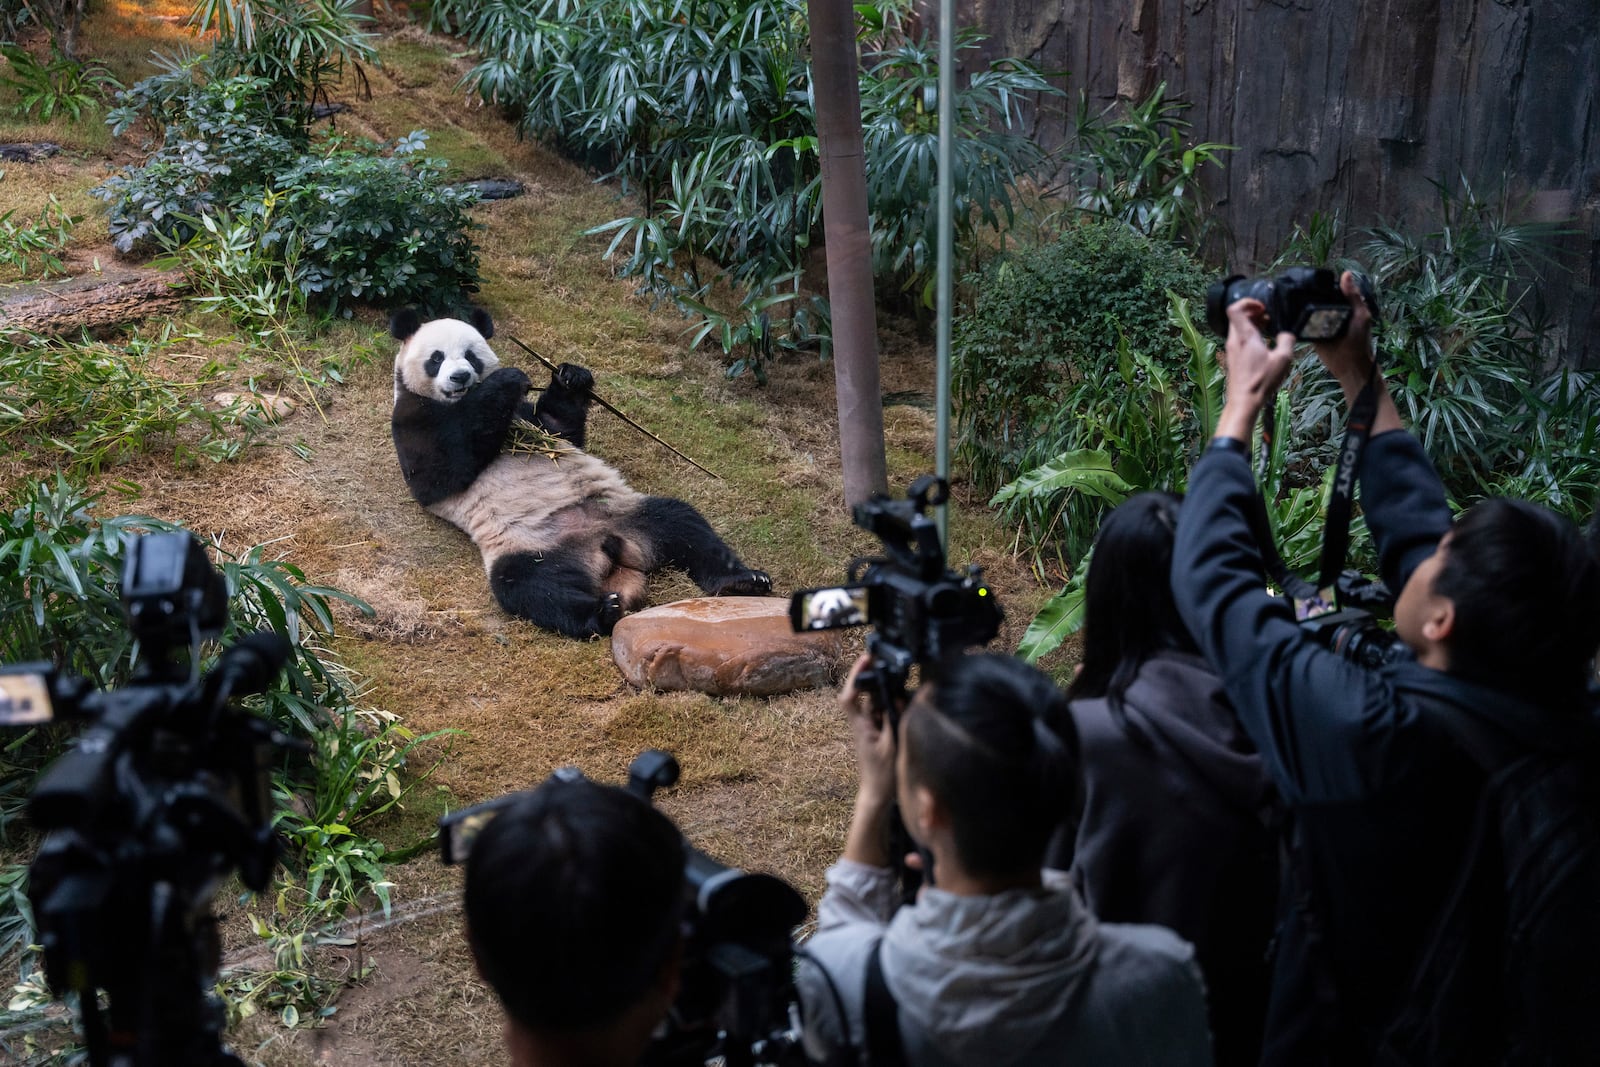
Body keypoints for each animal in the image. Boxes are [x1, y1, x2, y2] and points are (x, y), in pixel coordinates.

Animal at [390, 303, 771, 639]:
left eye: (471, 355)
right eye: (436, 358)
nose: (460, 376)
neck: (457, 401)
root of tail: (608, 550)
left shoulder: (530, 419)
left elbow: (561, 428)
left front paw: (571, 377)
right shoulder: (411, 419)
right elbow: (440, 471)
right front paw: (507, 380)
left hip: (627, 512)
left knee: (684, 523)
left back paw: (741, 580)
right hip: (533, 548)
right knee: (532, 587)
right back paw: (602, 613)